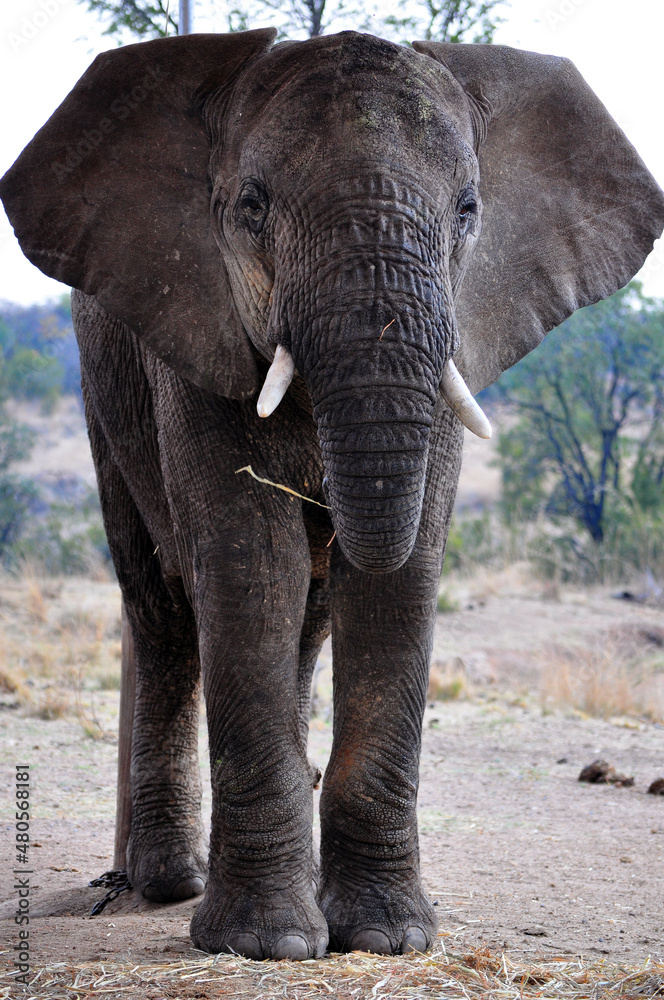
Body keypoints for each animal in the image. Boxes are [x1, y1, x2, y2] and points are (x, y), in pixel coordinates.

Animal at [2, 29, 663, 961]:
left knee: (304, 621)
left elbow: (404, 568)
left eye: (469, 209)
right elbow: (252, 561)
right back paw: (167, 883)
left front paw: (386, 937)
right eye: (250, 206)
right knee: (163, 605)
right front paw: (267, 944)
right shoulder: (193, 326)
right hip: (104, 392)